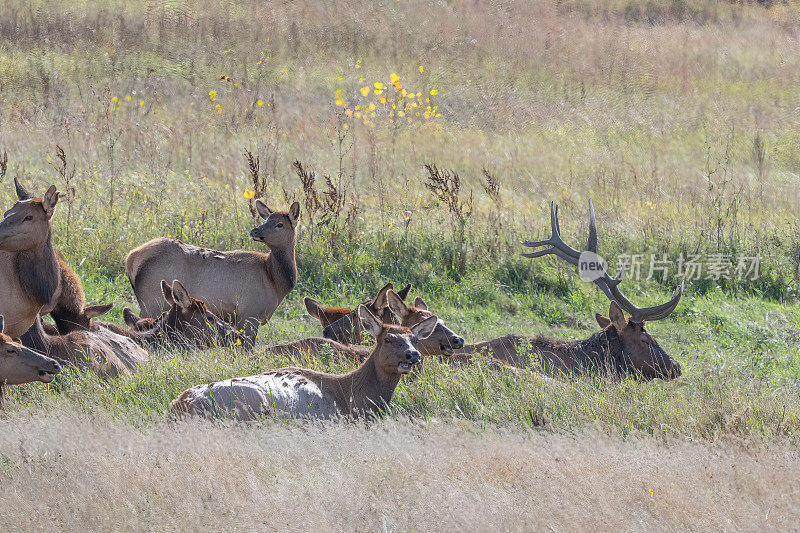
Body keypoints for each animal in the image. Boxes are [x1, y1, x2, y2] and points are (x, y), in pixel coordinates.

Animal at [126, 200, 302, 344]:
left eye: (279, 224)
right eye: (266, 220)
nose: (255, 231)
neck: (275, 281)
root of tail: (131, 257)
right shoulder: (249, 313)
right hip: (152, 300)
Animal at [171, 304, 440, 420]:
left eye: (414, 339)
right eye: (387, 339)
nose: (412, 355)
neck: (353, 398)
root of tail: (178, 405)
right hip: (251, 402)